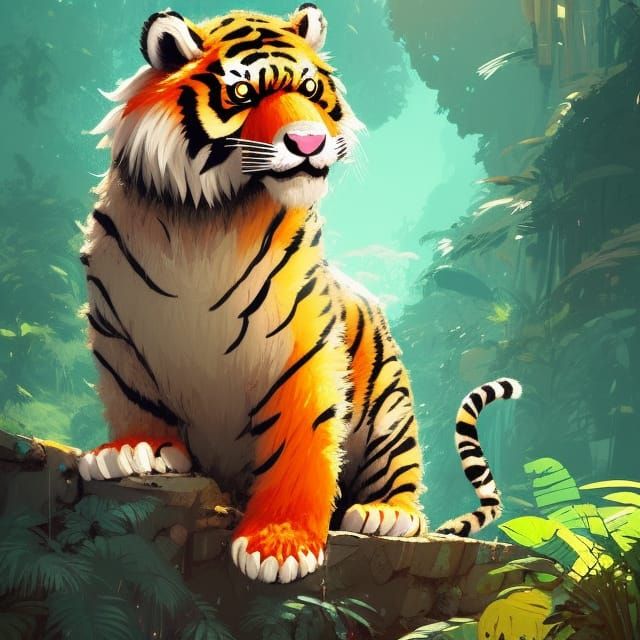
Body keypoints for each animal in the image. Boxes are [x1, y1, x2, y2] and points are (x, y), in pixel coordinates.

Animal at [78, 4, 522, 584]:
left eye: (309, 88)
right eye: (243, 93)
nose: (309, 143)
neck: (205, 221)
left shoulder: (299, 347)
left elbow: (299, 440)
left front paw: (279, 546)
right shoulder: (118, 327)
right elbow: (132, 398)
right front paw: (133, 450)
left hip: (391, 409)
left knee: (401, 477)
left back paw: (385, 514)